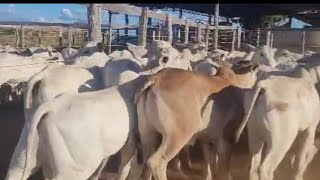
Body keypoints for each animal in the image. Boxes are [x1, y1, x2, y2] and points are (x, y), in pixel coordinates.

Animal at [132, 60, 260, 180]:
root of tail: (156, 79)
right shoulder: (227, 137)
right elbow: (224, 165)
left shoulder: (206, 138)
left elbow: (209, 160)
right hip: (177, 136)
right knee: (156, 163)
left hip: (147, 134)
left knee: (146, 161)